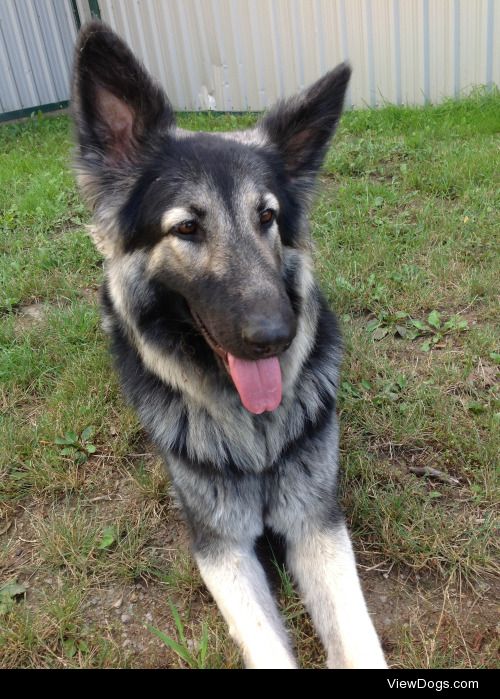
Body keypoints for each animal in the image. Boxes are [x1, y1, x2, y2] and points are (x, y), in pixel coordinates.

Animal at [71, 19, 386, 668]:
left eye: (267, 217)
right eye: (187, 227)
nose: (275, 337)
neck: (253, 435)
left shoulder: (316, 522)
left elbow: (359, 640)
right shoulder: (220, 546)